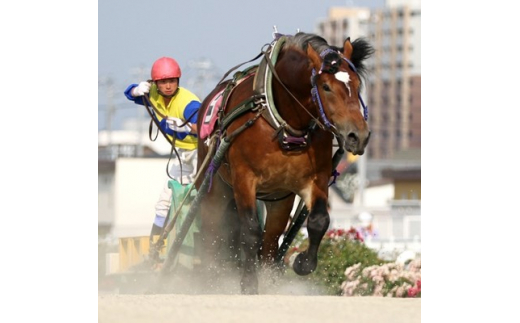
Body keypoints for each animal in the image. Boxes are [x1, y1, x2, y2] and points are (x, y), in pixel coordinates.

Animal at [195, 31, 374, 294]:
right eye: (326, 86)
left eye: (357, 84)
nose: (357, 136)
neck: (284, 124)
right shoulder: (244, 178)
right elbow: (250, 230)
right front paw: (249, 283)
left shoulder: (314, 179)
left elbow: (319, 220)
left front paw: (302, 263)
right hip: (214, 185)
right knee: (210, 229)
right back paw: (209, 279)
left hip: (278, 199)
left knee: (270, 241)